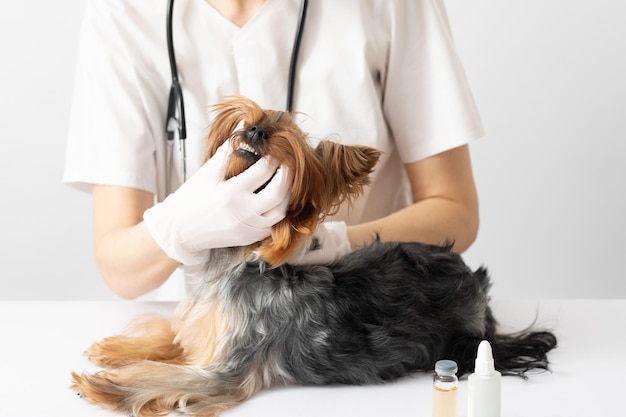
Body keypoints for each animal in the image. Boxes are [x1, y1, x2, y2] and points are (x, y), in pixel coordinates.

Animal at [70, 96, 552, 416]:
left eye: (288, 146)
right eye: (260, 117)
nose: (256, 128)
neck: (238, 260)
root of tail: (475, 284)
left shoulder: (224, 370)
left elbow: (158, 377)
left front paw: (103, 384)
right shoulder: (201, 330)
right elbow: (168, 335)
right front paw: (114, 349)